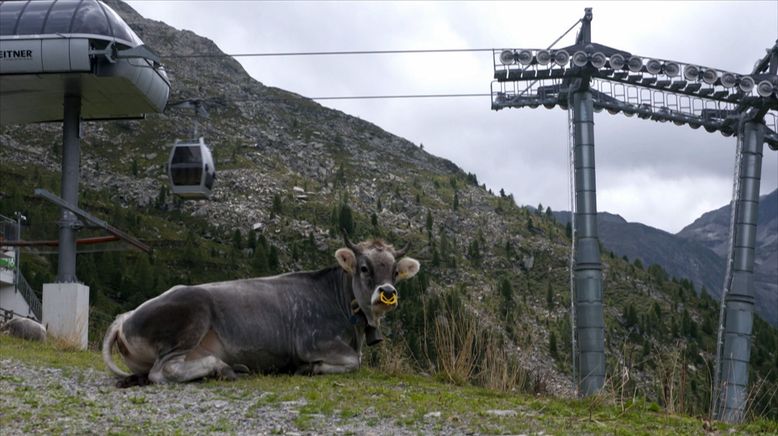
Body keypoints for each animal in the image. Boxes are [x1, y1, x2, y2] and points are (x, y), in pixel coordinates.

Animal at [102, 233, 418, 386]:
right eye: (364, 268)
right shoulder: (313, 342)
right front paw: (308, 368)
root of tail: (124, 317)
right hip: (192, 316)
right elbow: (354, 361)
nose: (388, 293)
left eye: (394, 271)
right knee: (162, 371)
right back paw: (222, 368)